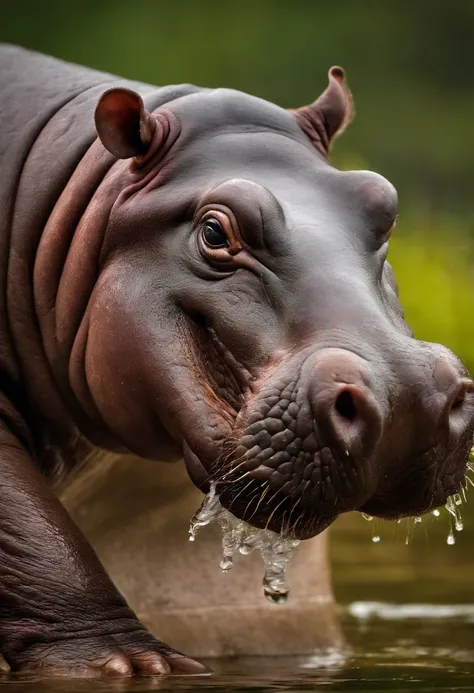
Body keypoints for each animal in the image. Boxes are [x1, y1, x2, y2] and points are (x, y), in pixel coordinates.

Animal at [0, 44, 474, 676]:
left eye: (383, 206)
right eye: (214, 232)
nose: (409, 401)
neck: (67, 203)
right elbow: (31, 528)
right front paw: (133, 664)